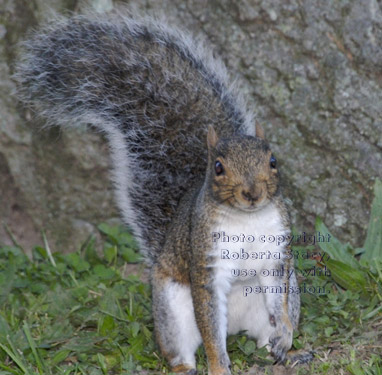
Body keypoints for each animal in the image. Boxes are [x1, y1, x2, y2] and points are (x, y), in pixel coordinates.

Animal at [15, 11, 302, 375]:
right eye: (218, 167)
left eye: (273, 161)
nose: (252, 193)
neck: (246, 220)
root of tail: (235, 327)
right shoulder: (205, 261)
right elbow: (209, 325)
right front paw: (218, 366)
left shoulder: (276, 256)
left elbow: (279, 299)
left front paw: (286, 335)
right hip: (173, 308)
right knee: (183, 346)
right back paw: (189, 367)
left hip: (279, 300)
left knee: (266, 333)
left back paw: (282, 353)